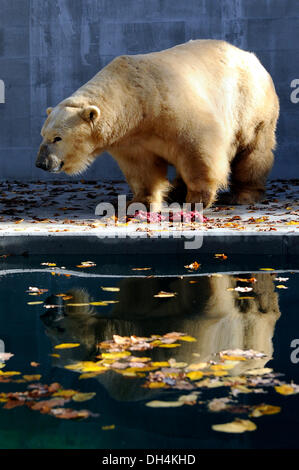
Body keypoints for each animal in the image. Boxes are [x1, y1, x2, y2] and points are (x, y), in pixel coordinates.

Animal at [35, 39, 282, 208]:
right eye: (43, 135)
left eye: (57, 138)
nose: (41, 163)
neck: (135, 102)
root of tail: (253, 58)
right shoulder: (131, 138)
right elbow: (142, 167)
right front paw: (140, 202)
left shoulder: (174, 108)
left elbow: (198, 149)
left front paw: (197, 199)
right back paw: (176, 191)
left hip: (250, 106)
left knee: (253, 150)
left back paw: (244, 194)